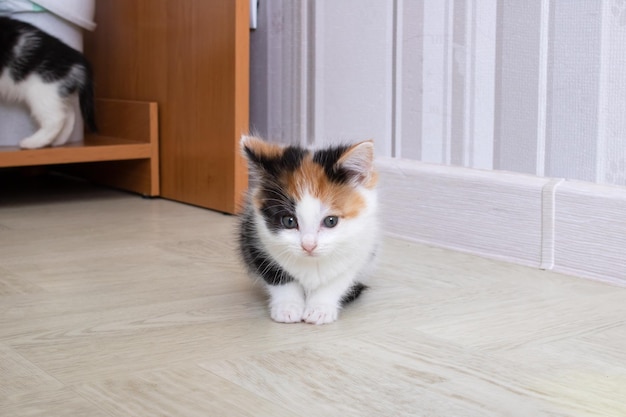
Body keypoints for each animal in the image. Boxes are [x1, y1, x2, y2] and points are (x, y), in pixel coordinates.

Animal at [0, 16, 96, 150]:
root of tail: (77, 59)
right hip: (57, 92)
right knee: (69, 114)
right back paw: (59, 141)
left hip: (42, 90)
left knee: (56, 118)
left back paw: (32, 142)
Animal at [238, 135, 376, 324]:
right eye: (289, 221)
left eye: (331, 221)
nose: (308, 245)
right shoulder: (255, 239)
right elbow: (278, 276)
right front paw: (288, 307)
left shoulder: (361, 248)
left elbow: (338, 279)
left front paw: (320, 308)